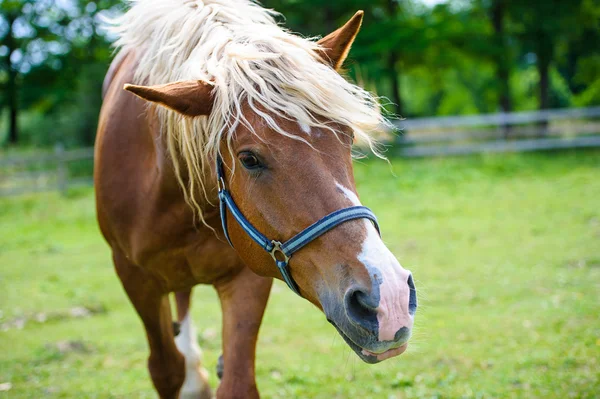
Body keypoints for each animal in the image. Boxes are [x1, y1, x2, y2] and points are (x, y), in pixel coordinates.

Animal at [96, 1, 418, 398]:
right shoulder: (135, 278)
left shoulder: (249, 274)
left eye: (346, 137)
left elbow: (237, 382)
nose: (388, 299)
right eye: (249, 159)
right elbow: (165, 370)